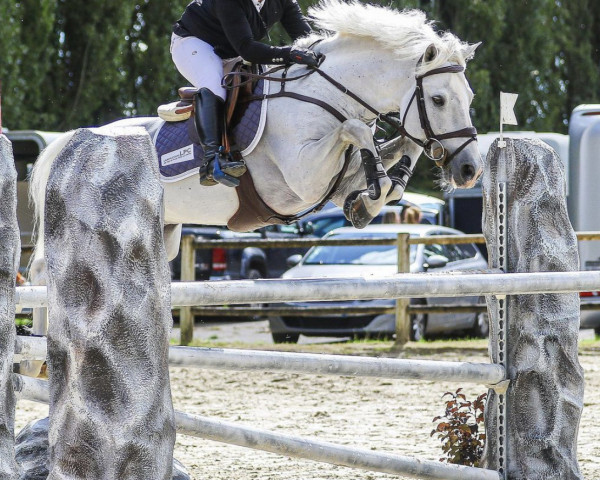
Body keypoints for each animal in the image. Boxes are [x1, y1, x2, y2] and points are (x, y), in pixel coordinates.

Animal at [27, 0, 482, 312]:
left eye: (470, 97)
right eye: (438, 100)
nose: (469, 170)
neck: (328, 93)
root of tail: (67, 144)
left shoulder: (332, 183)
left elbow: (396, 153)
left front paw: (371, 201)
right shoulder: (303, 178)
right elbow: (355, 131)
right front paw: (374, 190)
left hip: (163, 233)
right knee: (42, 273)